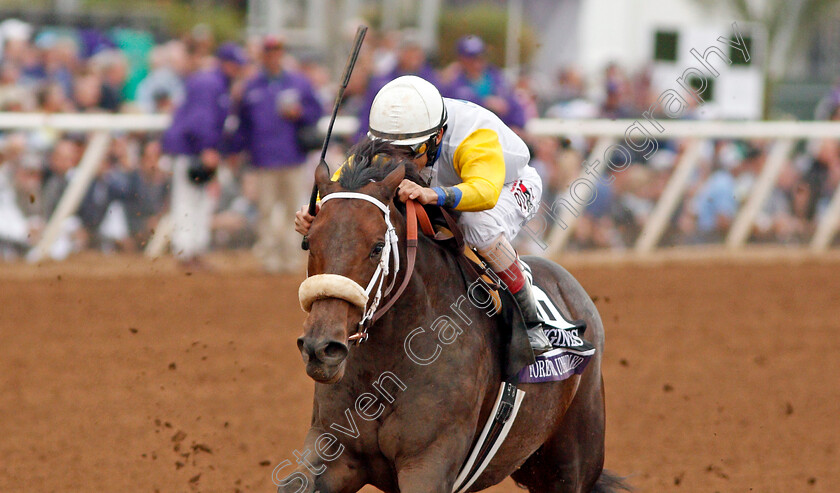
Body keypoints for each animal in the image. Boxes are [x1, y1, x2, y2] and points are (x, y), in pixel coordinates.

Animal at [278, 140, 628, 490]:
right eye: (309, 242)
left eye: (377, 247)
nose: (321, 348)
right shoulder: (334, 450)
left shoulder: (429, 462)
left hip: (571, 463)